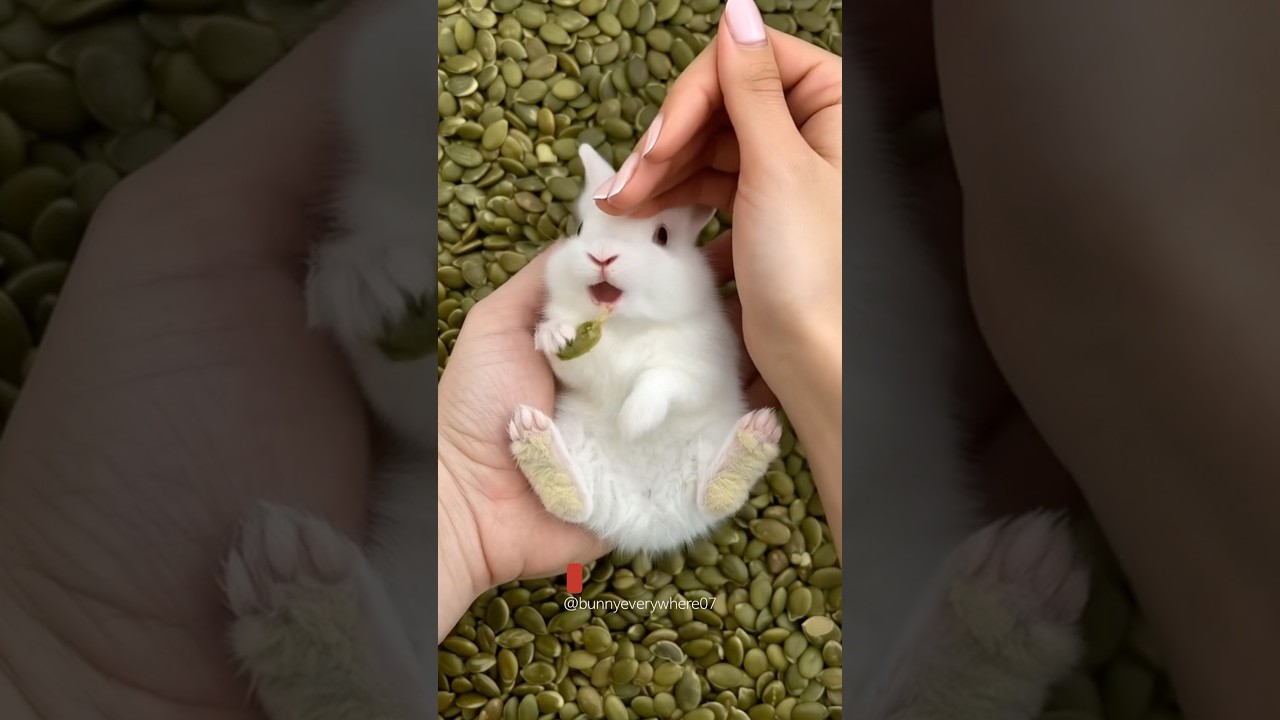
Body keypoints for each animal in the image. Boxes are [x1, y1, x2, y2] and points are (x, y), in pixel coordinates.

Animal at [506, 143, 782, 555]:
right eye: (581, 230)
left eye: (662, 235)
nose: (602, 256)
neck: (625, 327)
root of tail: (648, 519)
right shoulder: (587, 369)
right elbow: (571, 364)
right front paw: (555, 335)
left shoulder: (698, 367)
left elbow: (661, 381)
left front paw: (633, 421)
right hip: (581, 449)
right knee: (574, 503)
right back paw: (530, 432)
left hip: (706, 444)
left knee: (714, 498)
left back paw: (759, 433)